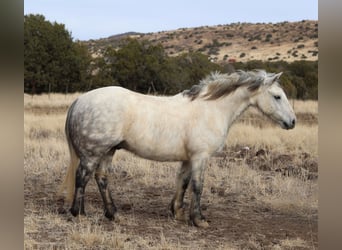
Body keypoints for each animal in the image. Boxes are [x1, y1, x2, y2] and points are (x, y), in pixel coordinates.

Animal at [57, 69, 296, 228]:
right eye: (277, 96)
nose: (292, 122)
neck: (211, 109)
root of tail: (80, 100)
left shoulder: (188, 159)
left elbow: (183, 182)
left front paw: (178, 213)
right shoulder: (200, 157)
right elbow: (198, 186)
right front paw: (198, 220)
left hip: (108, 151)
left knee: (101, 179)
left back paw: (112, 214)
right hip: (92, 153)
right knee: (82, 177)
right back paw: (79, 213)